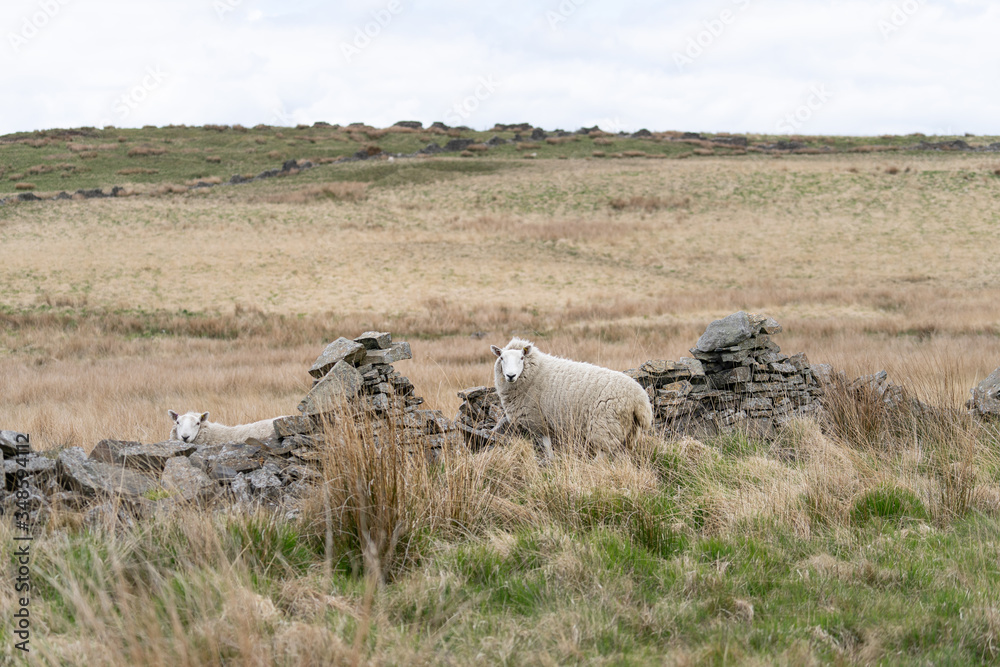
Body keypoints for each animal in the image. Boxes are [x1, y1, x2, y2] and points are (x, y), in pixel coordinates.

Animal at [490, 338, 653, 460]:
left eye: (522, 358)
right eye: (501, 358)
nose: (510, 375)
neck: (534, 373)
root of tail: (640, 399)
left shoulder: (539, 419)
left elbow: (547, 445)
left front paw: (550, 460)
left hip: (605, 425)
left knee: (602, 454)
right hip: (629, 430)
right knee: (622, 453)